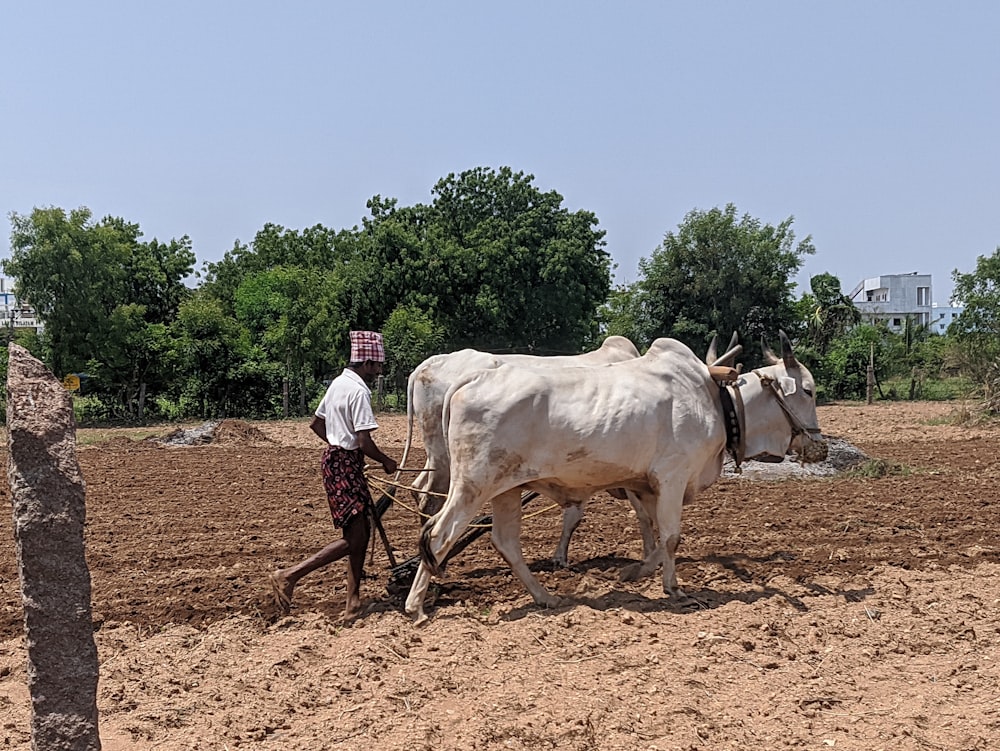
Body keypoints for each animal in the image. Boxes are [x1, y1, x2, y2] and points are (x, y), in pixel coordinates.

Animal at [398, 338, 648, 568]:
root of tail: (428, 364)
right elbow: (639, 511)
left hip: (437, 456)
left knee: (419, 489)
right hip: (449, 461)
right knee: (431, 500)